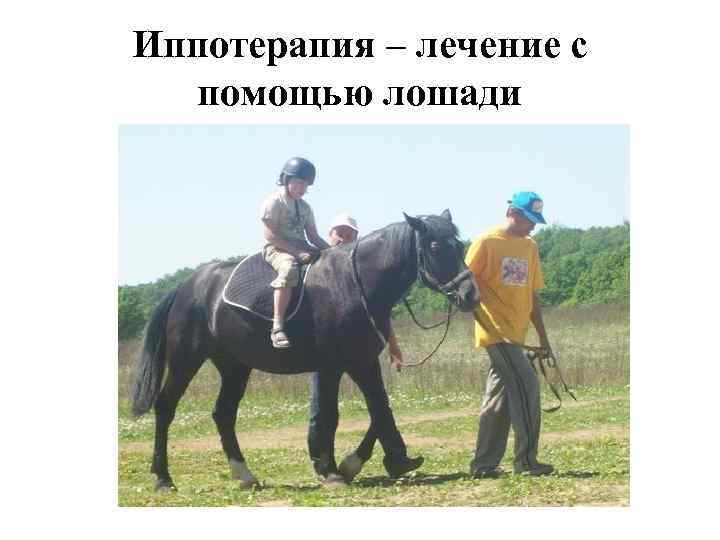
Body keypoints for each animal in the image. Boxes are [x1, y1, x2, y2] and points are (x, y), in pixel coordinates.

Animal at [130, 210, 480, 490]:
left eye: (458, 245)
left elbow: (380, 408)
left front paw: (387, 460)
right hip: (185, 361)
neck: (354, 285)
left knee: (224, 414)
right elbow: (331, 416)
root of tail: (187, 286)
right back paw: (163, 478)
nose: (470, 294)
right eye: (434, 247)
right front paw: (332, 470)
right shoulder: (332, 367)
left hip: (234, 366)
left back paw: (244, 474)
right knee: (165, 408)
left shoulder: (362, 362)